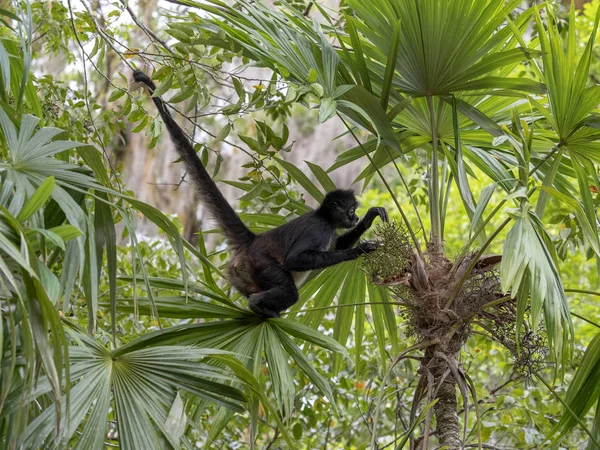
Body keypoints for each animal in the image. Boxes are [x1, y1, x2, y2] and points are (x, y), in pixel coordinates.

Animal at [132, 69, 390, 316]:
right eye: (350, 211)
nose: (355, 218)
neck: (323, 216)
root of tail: (253, 240)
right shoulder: (319, 228)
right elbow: (297, 259)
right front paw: (359, 250)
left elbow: (337, 245)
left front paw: (370, 218)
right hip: (260, 264)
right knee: (288, 290)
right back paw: (259, 305)